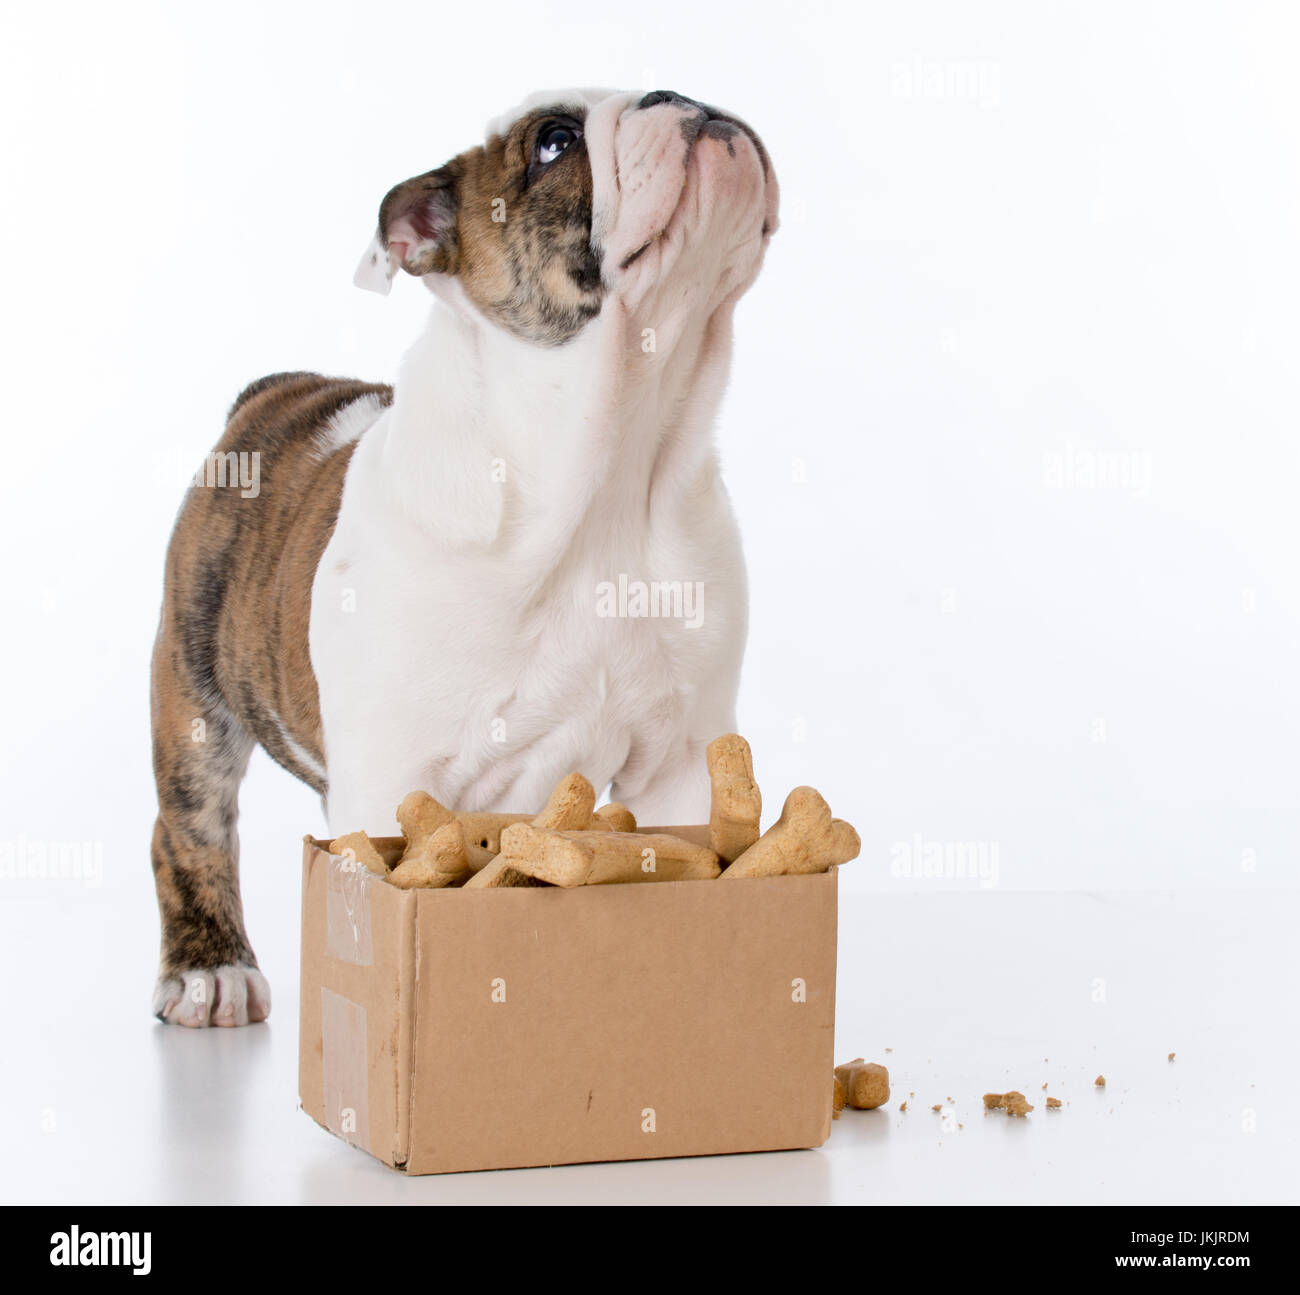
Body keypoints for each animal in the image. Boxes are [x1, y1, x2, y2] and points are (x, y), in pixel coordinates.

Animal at [147, 85, 774, 1024]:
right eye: (554, 140)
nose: (685, 98)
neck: (616, 459)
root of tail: (271, 394)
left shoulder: (682, 762)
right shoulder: (389, 777)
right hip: (195, 689)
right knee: (190, 822)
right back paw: (208, 967)